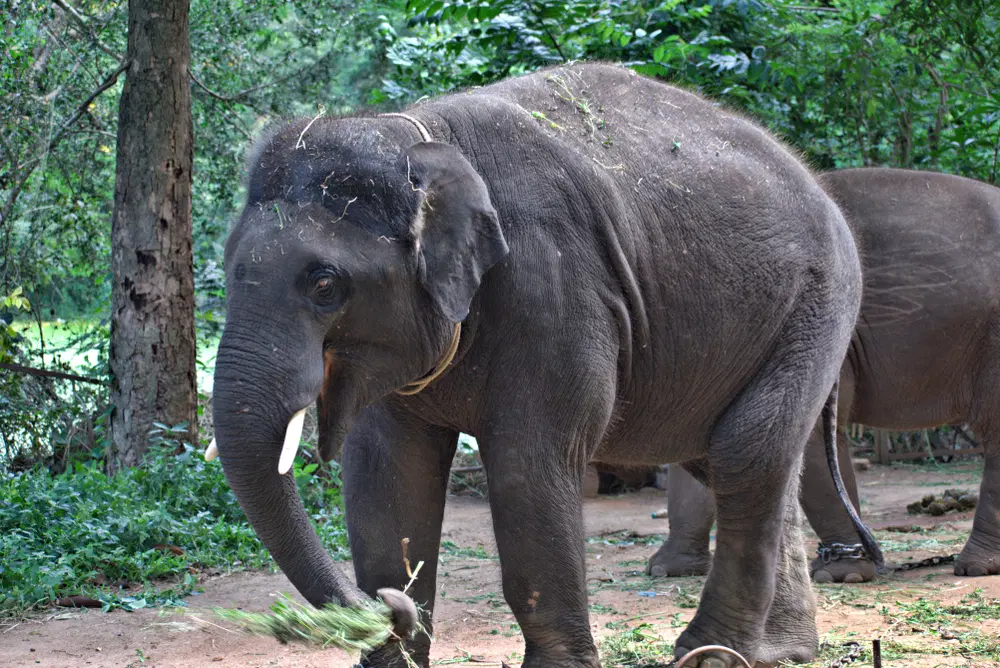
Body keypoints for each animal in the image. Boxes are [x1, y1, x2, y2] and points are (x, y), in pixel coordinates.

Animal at [207, 63, 873, 668]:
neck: (419, 139)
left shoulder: (553, 287)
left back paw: (708, 656)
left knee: (745, 453)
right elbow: (386, 474)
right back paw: (778, 653)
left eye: (324, 284)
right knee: (740, 464)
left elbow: (528, 467)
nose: (392, 606)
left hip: (817, 305)